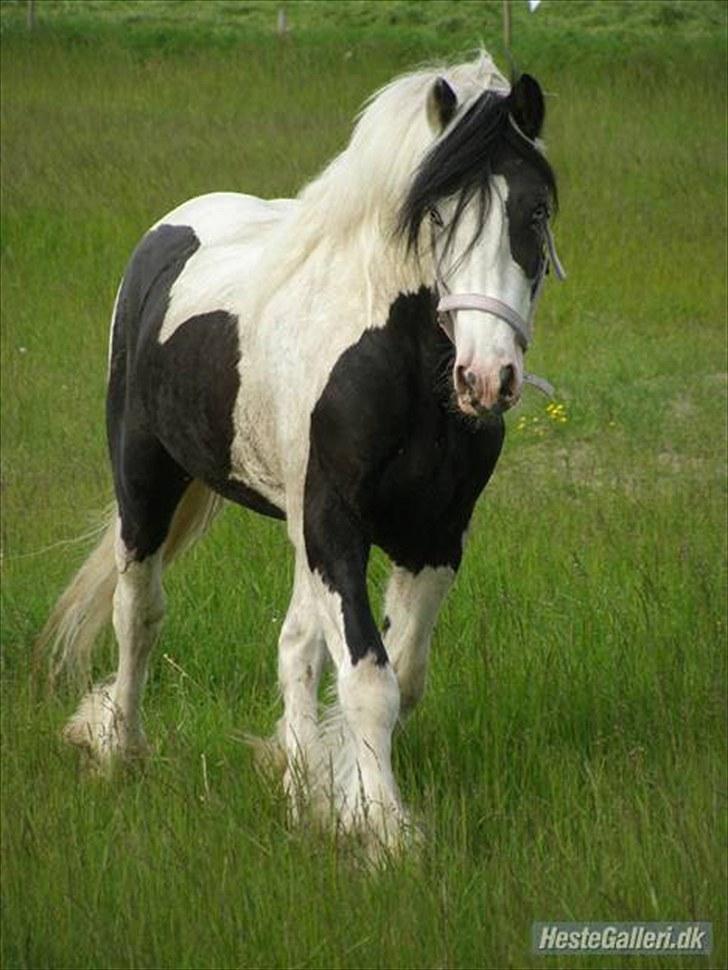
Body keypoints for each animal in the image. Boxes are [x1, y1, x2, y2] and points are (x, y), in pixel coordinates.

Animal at [37, 49, 564, 852]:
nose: (485, 378)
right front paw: (383, 831)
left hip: (296, 528)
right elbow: (370, 679)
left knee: (294, 645)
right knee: (139, 614)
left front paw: (330, 789)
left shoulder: (434, 535)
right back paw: (121, 750)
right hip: (145, 483)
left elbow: (398, 672)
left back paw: (294, 776)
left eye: (534, 213)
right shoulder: (336, 522)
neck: (398, 355)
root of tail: (169, 230)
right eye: (437, 216)